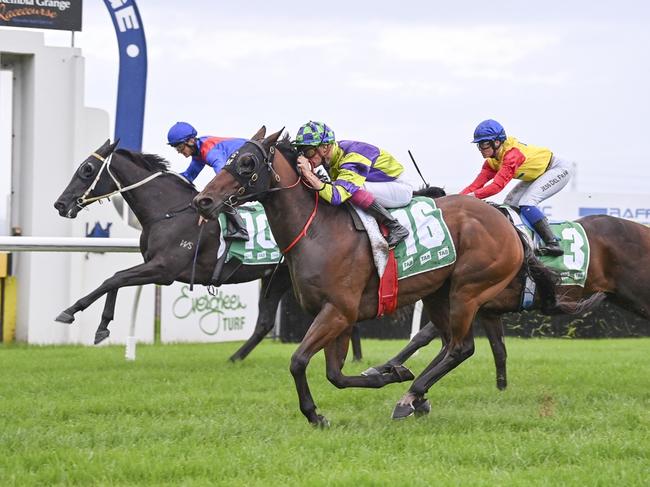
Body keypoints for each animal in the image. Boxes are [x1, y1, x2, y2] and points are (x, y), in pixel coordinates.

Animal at [52, 139, 362, 360]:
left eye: (86, 170)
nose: (60, 204)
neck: (168, 211)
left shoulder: (163, 269)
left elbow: (113, 278)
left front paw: (71, 312)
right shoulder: (153, 265)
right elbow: (115, 281)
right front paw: (102, 327)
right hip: (277, 279)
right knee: (266, 322)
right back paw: (236, 358)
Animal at [189, 130, 596, 428]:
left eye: (247, 162)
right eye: (229, 159)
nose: (203, 201)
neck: (318, 230)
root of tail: (507, 221)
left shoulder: (338, 310)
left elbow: (298, 361)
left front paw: (316, 413)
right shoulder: (337, 316)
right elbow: (335, 374)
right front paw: (385, 373)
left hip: (468, 290)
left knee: (461, 347)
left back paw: (410, 396)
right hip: (438, 293)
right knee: (448, 344)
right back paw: (416, 395)